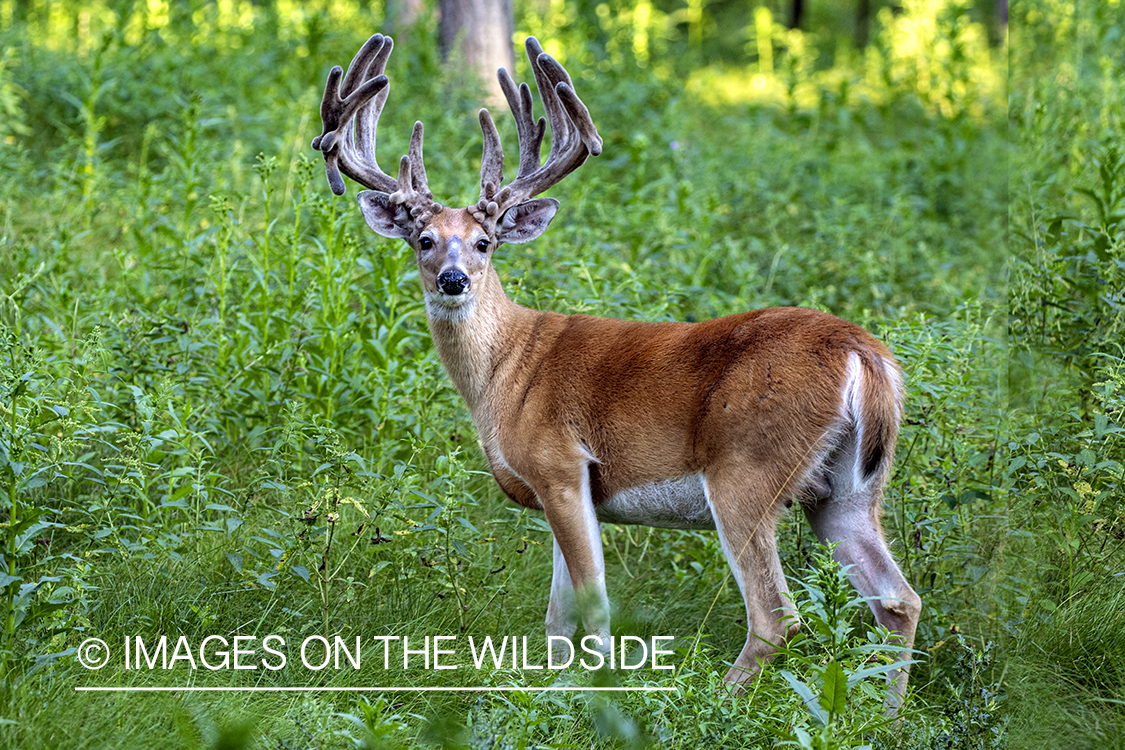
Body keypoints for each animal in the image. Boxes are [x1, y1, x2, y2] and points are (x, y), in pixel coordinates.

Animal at [312, 33, 918, 706]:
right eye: (423, 238)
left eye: (484, 242)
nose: (452, 279)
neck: (505, 371)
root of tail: (864, 354)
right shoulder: (560, 489)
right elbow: (556, 616)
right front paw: (547, 688)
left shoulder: (560, 462)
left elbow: (594, 606)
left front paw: (600, 690)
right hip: (848, 489)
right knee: (898, 600)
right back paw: (887, 716)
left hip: (747, 468)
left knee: (776, 617)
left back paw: (709, 703)